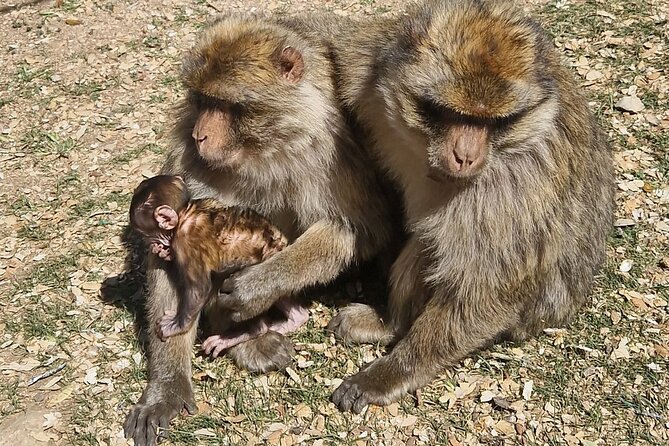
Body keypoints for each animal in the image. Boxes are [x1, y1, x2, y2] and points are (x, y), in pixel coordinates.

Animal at [128, 174, 309, 346]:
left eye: (146, 235)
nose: (152, 244)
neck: (185, 212)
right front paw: (165, 253)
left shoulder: (185, 241)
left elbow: (199, 288)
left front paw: (176, 326)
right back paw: (297, 317)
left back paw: (247, 332)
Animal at [307, 0, 615, 413]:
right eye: (453, 113)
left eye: (492, 121)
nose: (466, 155)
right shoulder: (371, 63)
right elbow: (334, 47)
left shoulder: (514, 184)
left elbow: (485, 290)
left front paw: (389, 374)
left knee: (432, 243)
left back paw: (393, 325)